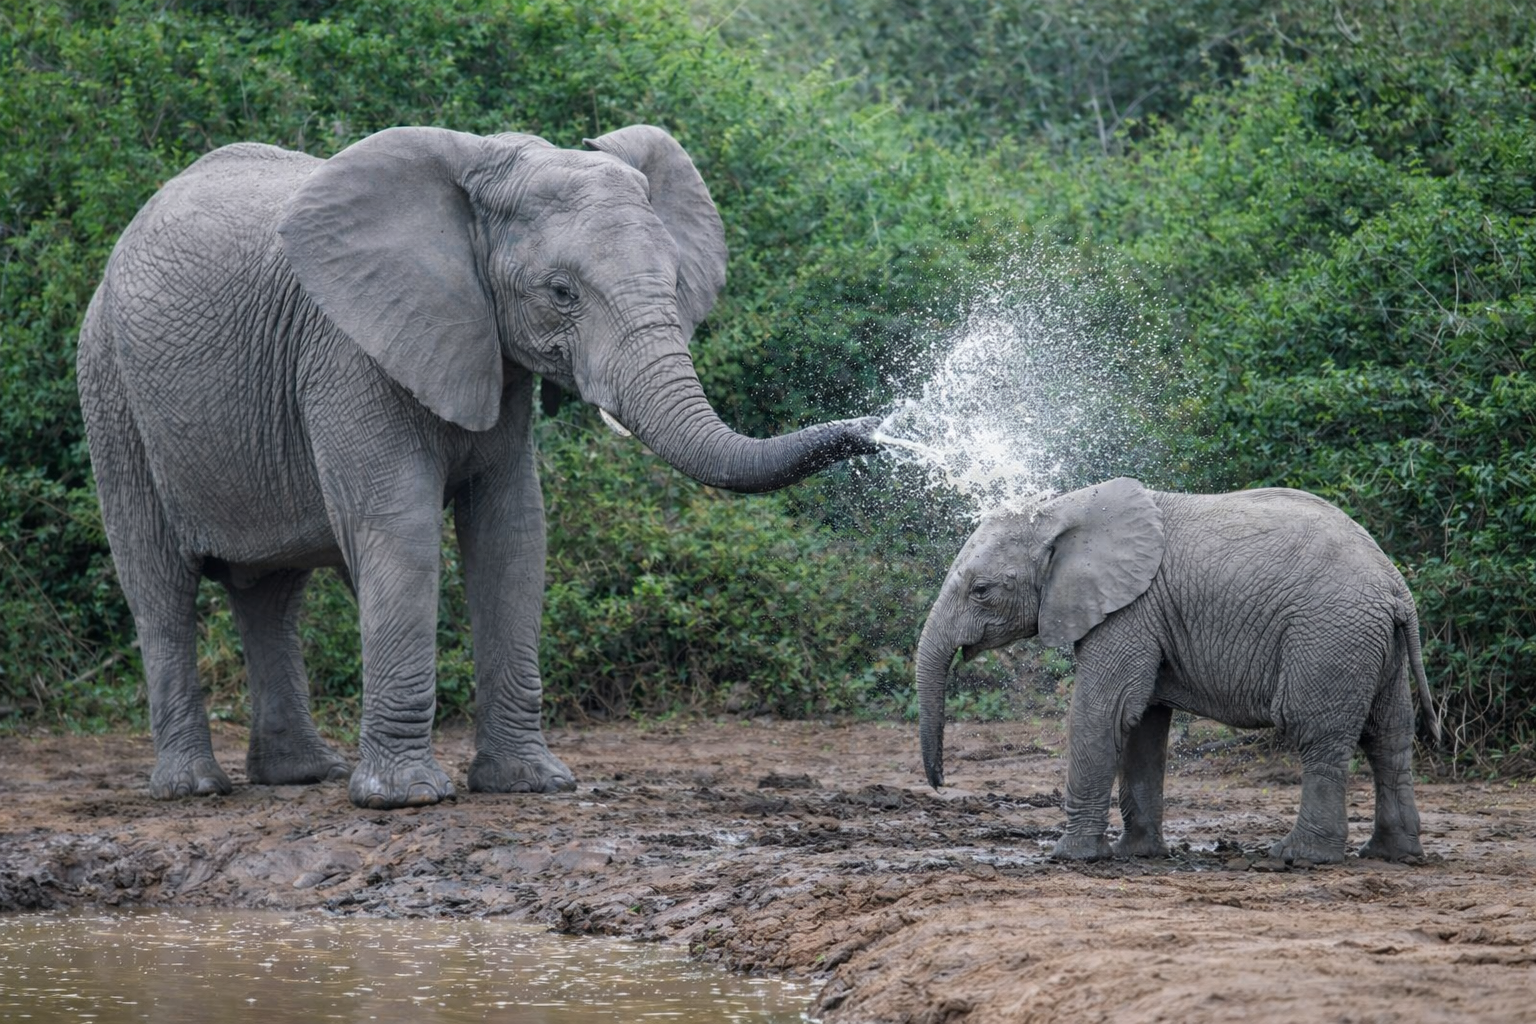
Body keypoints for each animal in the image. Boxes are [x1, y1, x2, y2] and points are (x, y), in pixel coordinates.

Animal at [76, 124, 881, 810]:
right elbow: (398, 529)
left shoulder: (493, 359)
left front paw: (531, 784)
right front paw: (405, 800)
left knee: (269, 595)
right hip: (110, 391)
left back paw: (302, 775)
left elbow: (513, 533)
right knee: (160, 587)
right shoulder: (345, 352)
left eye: (677, 280)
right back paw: (193, 789)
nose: (877, 430)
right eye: (561, 293)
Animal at [915, 477, 1440, 864]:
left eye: (981, 590)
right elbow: (1142, 725)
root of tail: (1396, 586)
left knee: (1317, 735)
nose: (940, 785)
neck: (1061, 512)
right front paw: (1137, 853)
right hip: (1373, 643)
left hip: (1328, 635)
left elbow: (1103, 713)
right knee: (1388, 736)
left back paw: (1298, 856)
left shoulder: (1131, 609)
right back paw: (1391, 854)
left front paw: (1071, 856)